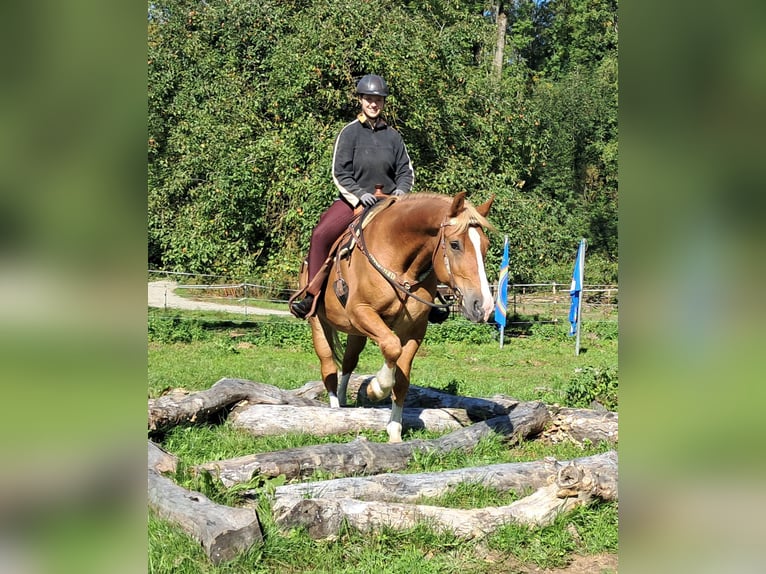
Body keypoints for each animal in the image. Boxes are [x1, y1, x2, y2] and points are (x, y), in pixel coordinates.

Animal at [306, 191, 498, 444]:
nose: (483, 306)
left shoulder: (414, 330)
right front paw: (376, 389)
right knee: (328, 366)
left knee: (348, 361)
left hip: (357, 333)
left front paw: (395, 431)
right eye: (455, 244)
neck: (400, 264)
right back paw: (335, 409)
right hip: (319, 323)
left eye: (485, 246)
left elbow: (402, 378)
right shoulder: (361, 311)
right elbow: (391, 346)